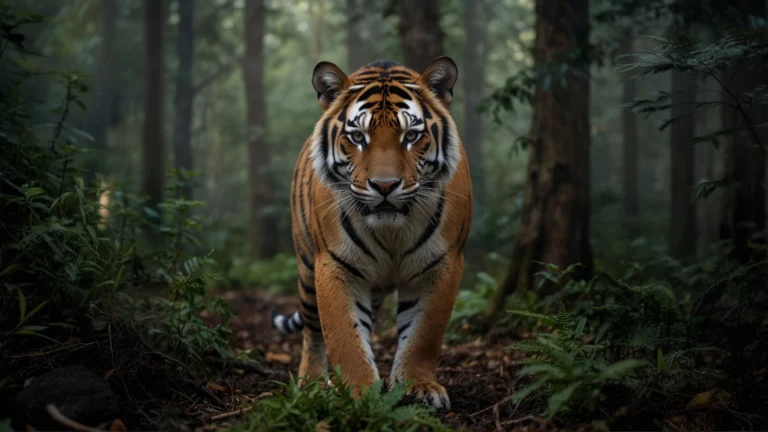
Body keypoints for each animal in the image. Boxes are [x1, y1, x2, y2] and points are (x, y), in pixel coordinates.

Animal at [270, 56, 472, 409]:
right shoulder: (334, 266)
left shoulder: (442, 264)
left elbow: (423, 335)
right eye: (357, 137)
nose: (385, 185)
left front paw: (420, 386)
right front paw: (359, 392)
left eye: (411, 135)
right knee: (312, 330)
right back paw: (310, 381)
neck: (392, 231)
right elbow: (345, 338)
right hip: (307, 266)